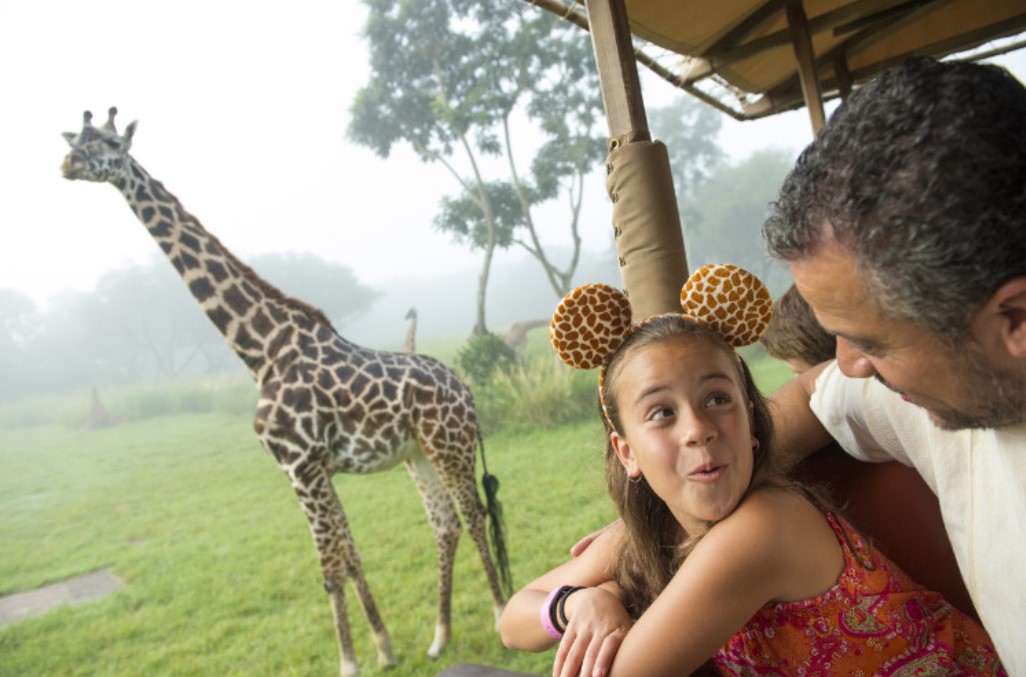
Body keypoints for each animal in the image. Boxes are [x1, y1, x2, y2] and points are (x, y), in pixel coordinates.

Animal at [62, 108, 510, 672]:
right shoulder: (312, 468)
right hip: (417, 454)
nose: (67, 164)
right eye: (75, 138)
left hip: (450, 446)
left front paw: (350, 662)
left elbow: (329, 567)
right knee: (444, 524)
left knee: (474, 515)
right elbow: (349, 554)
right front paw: (384, 649)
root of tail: (465, 388)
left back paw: (500, 617)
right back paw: (439, 637)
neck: (261, 352)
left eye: (109, 144)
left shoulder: (298, 466)